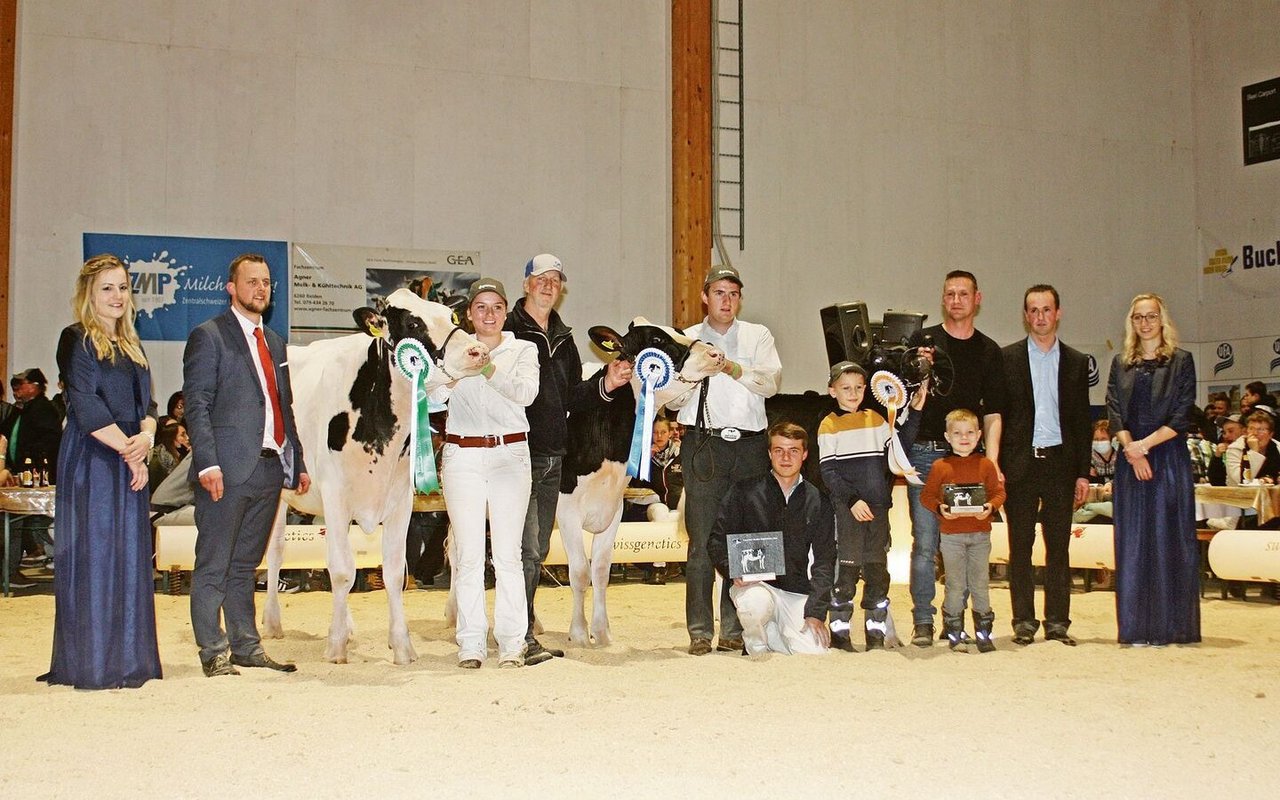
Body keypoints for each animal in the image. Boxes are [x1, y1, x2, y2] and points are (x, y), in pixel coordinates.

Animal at [261, 286, 488, 660]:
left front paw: (401, 646)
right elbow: (342, 571)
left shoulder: (399, 500)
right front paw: (336, 646)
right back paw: (272, 624)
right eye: (413, 322)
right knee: (276, 550)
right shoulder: (336, 495)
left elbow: (394, 572)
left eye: (451, 315)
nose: (478, 351)